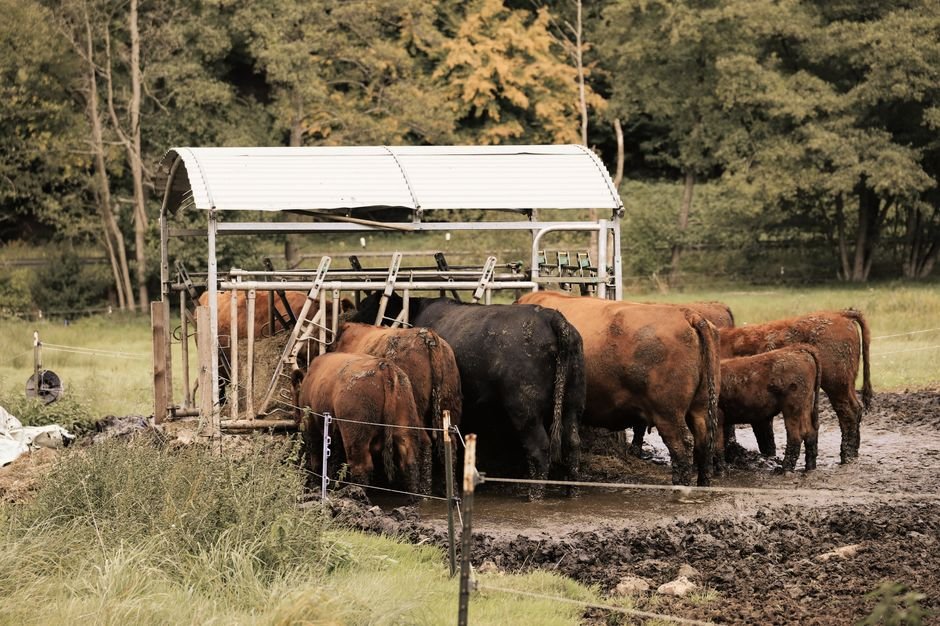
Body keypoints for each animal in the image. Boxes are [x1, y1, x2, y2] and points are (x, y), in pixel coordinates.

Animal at [291, 352, 431, 497]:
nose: (295, 417)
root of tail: (384, 366)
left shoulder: (311, 426)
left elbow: (317, 458)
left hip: (356, 437)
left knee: (361, 467)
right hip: (405, 429)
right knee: (409, 464)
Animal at [352, 294, 585, 500]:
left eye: (367, 306)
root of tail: (552, 317)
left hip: (525, 408)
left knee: (540, 448)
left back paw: (535, 494)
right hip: (572, 404)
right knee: (573, 443)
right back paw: (572, 491)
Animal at [718, 309, 872, 464]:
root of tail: (840, 314)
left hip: (836, 385)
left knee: (848, 414)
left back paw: (847, 456)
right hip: (846, 385)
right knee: (856, 409)